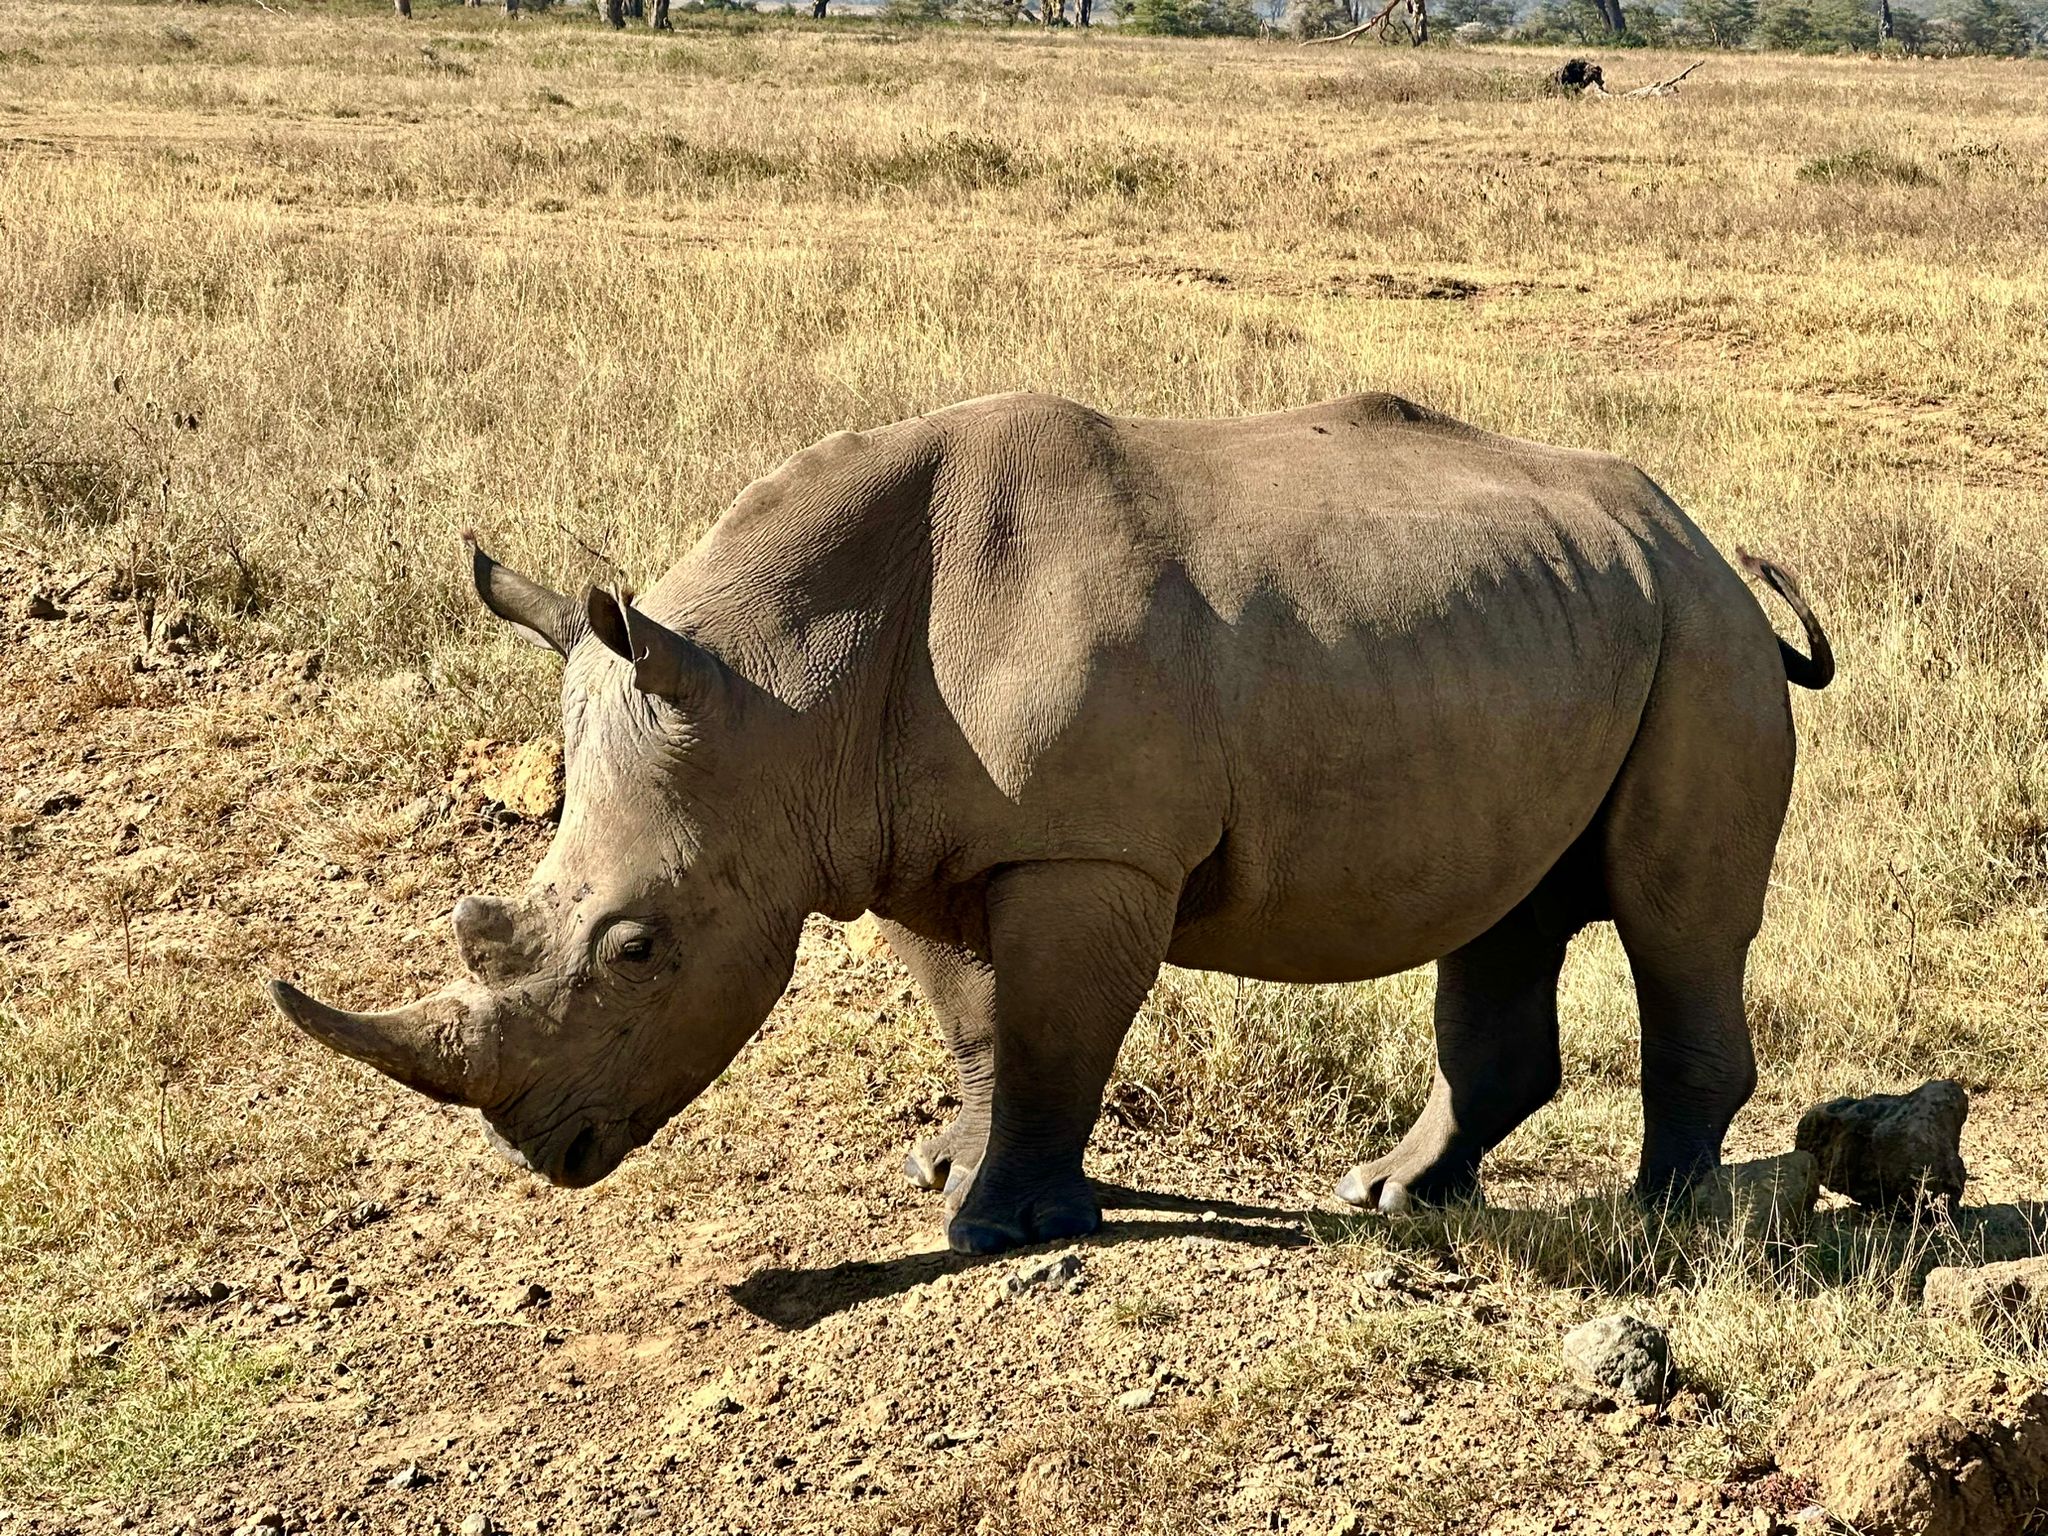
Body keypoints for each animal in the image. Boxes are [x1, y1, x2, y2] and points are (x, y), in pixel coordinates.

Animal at [270, 392, 1833, 1255]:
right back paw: (1390, 1197)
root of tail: (1702, 541)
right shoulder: (913, 844)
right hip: (1560, 620)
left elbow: (1056, 1030)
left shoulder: (1090, 851)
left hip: (1701, 647)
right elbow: (980, 1022)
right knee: (1506, 915)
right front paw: (952, 1171)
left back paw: (1662, 1225)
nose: (542, 1152)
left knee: (1676, 921)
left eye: (640, 949)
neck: (780, 693)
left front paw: (998, 1227)